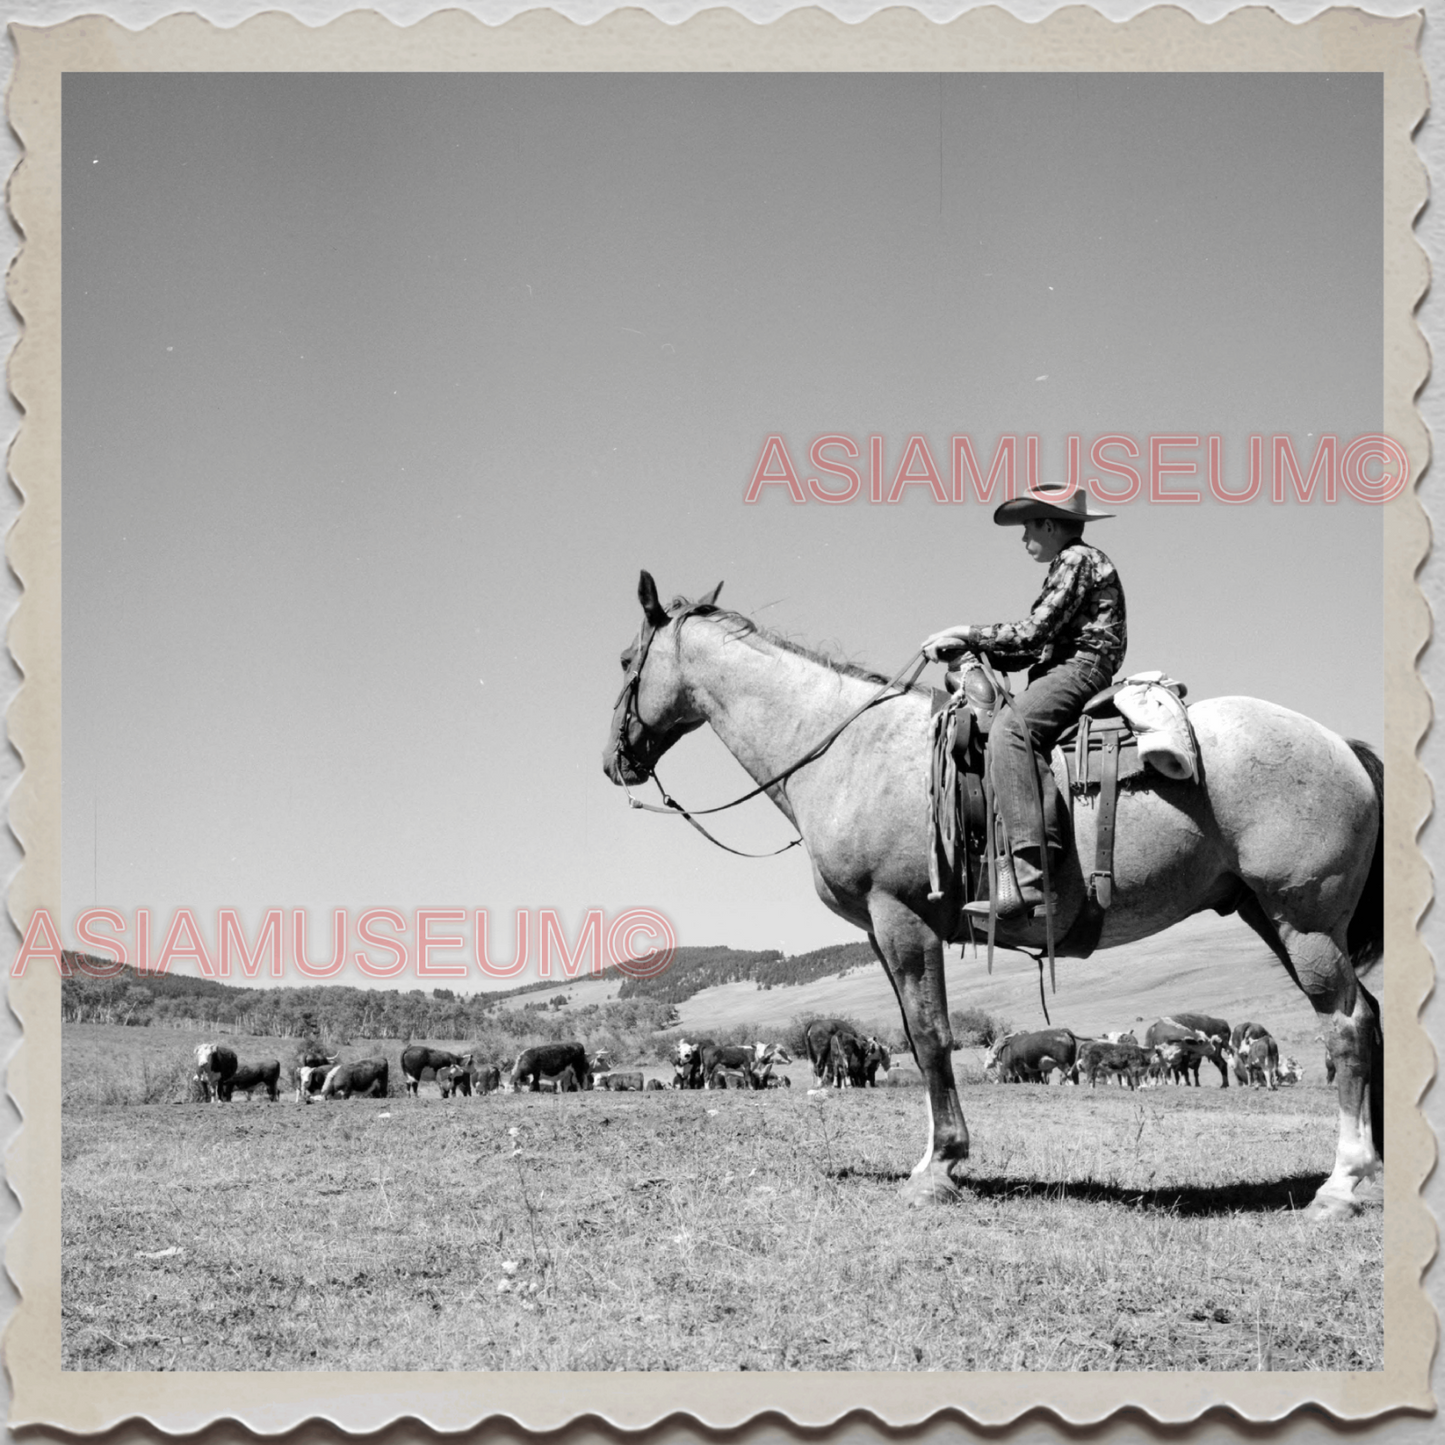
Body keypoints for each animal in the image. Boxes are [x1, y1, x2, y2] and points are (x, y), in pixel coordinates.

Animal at [604, 575, 1381, 1219]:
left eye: (623, 660)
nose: (615, 761)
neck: (849, 750)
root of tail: (1339, 744)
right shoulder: (881, 930)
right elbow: (918, 1037)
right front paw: (933, 1157)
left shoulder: (902, 916)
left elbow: (929, 1035)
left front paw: (940, 1167)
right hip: (1266, 911)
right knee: (1367, 1018)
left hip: (1301, 918)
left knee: (1345, 1025)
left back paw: (1340, 1184)